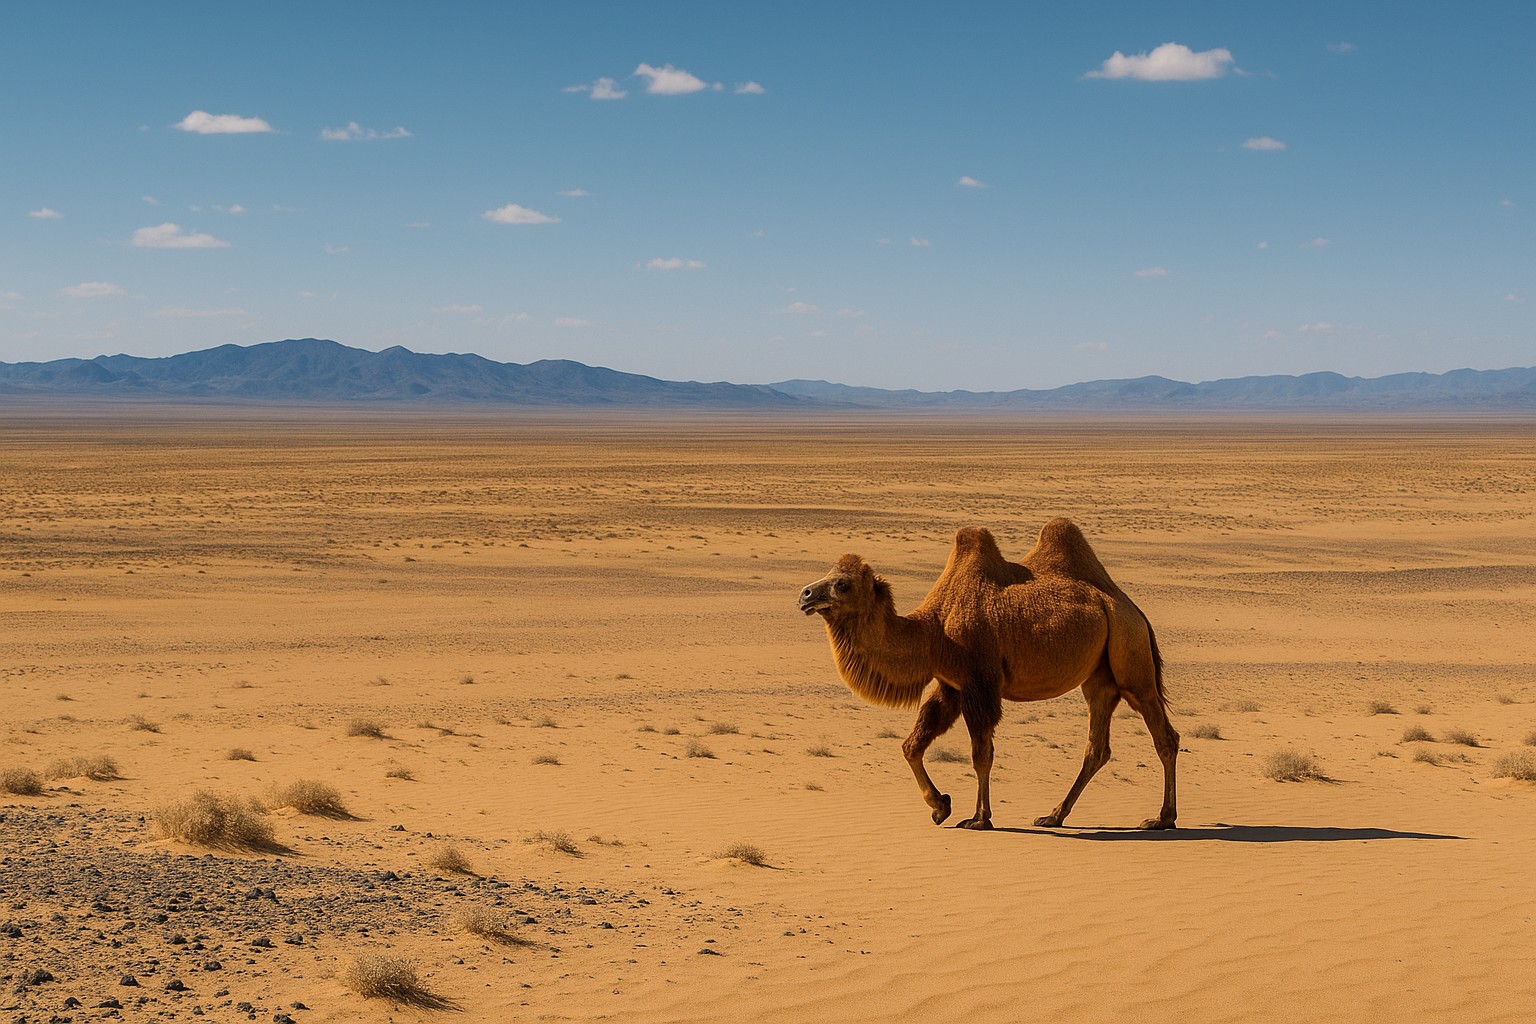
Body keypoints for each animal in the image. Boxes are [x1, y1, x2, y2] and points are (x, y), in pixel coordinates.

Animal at [797, 519, 1177, 831]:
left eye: (842, 584)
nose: (805, 594)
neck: (932, 632)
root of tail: (1134, 610)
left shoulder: (978, 682)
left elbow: (981, 753)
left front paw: (979, 818)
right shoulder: (951, 685)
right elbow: (912, 744)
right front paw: (940, 806)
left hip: (1131, 661)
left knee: (1164, 736)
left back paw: (1162, 819)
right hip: (1099, 678)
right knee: (1097, 747)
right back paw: (1054, 815)